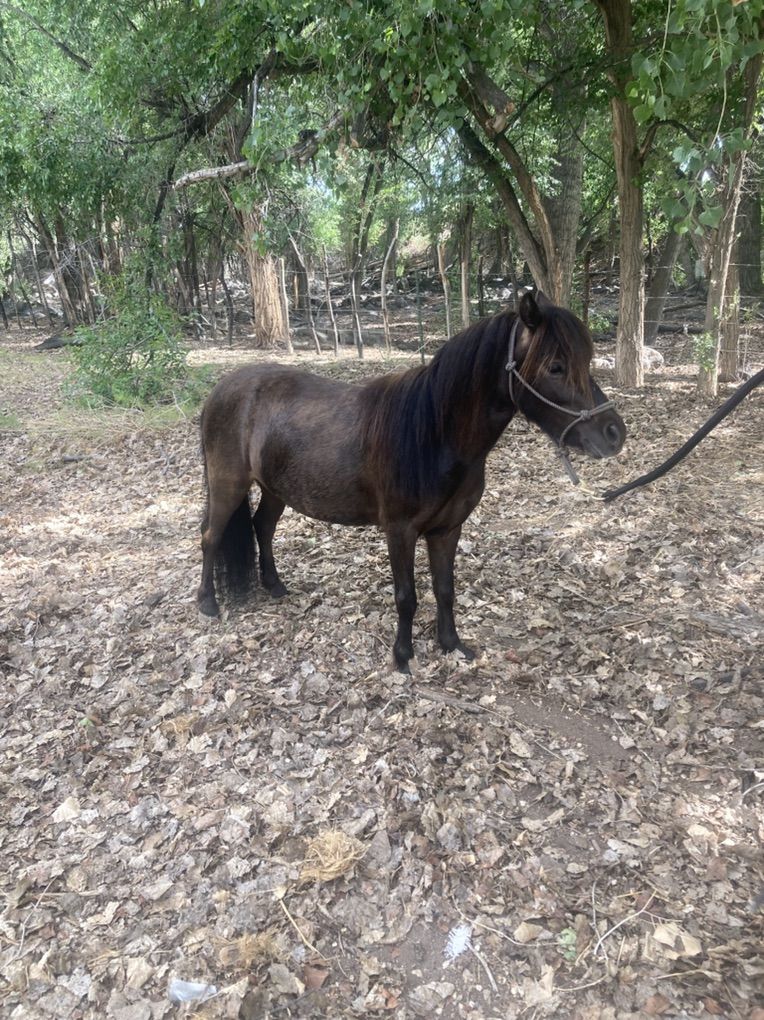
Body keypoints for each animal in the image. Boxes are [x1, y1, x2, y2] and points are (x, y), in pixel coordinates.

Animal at [197, 290, 626, 671]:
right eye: (555, 366)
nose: (614, 434)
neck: (434, 435)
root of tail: (222, 388)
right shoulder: (399, 531)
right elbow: (406, 596)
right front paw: (403, 656)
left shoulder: (447, 529)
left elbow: (444, 589)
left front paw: (451, 644)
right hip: (228, 484)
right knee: (211, 537)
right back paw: (208, 603)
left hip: (274, 487)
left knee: (262, 528)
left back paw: (273, 585)